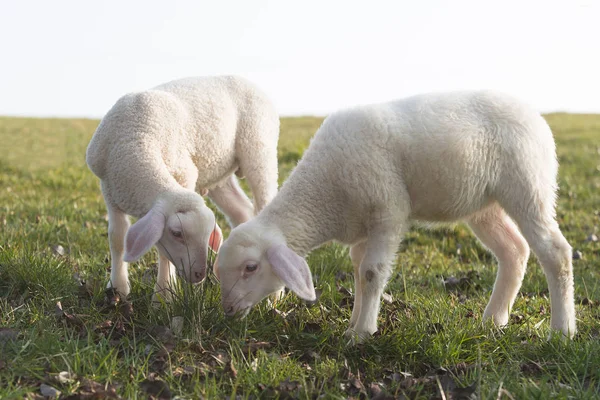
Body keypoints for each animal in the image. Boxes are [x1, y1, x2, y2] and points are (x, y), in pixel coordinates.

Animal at [85, 75, 280, 302]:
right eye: (177, 233)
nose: (199, 275)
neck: (135, 140)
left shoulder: (184, 174)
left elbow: (162, 253)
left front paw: (163, 296)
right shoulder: (110, 189)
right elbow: (117, 238)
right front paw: (117, 288)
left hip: (259, 149)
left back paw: (276, 296)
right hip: (218, 172)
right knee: (241, 212)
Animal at [216, 90, 576, 344]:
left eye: (251, 268)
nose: (228, 310)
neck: (325, 195)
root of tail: (534, 114)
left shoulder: (388, 211)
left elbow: (372, 273)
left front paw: (361, 333)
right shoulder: (362, 226)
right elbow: (358, 272)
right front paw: (354, 322)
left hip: (527, 184)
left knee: (555, 252)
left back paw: (562, 331)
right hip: (485, 206)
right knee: (514, 250)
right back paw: (493, 320)